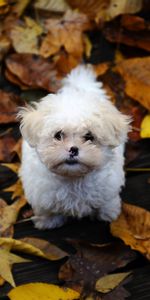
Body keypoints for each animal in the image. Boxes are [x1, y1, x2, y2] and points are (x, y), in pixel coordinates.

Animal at [19, 66, 130, 230]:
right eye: (58, 135)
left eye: (89, 137)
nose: (73, 149)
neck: (73, 179)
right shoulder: (41, 193)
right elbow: (47, 209)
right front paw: (47, 221)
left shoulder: (109, 187)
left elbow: (106, 202)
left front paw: (108, 214)